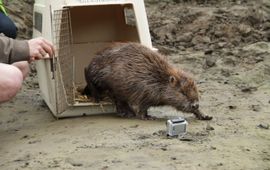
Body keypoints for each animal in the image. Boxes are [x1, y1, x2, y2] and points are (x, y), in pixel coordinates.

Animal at [83, 42, 212, 119]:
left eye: (196, 91)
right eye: (182, 92)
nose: (195, 105)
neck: (158, 79)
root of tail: (91, 65)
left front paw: (205, 115)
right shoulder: (144, 91)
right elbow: (142, 106)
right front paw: (147, 117)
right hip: (110, 84)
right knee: (116, 98)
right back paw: (126, 113)